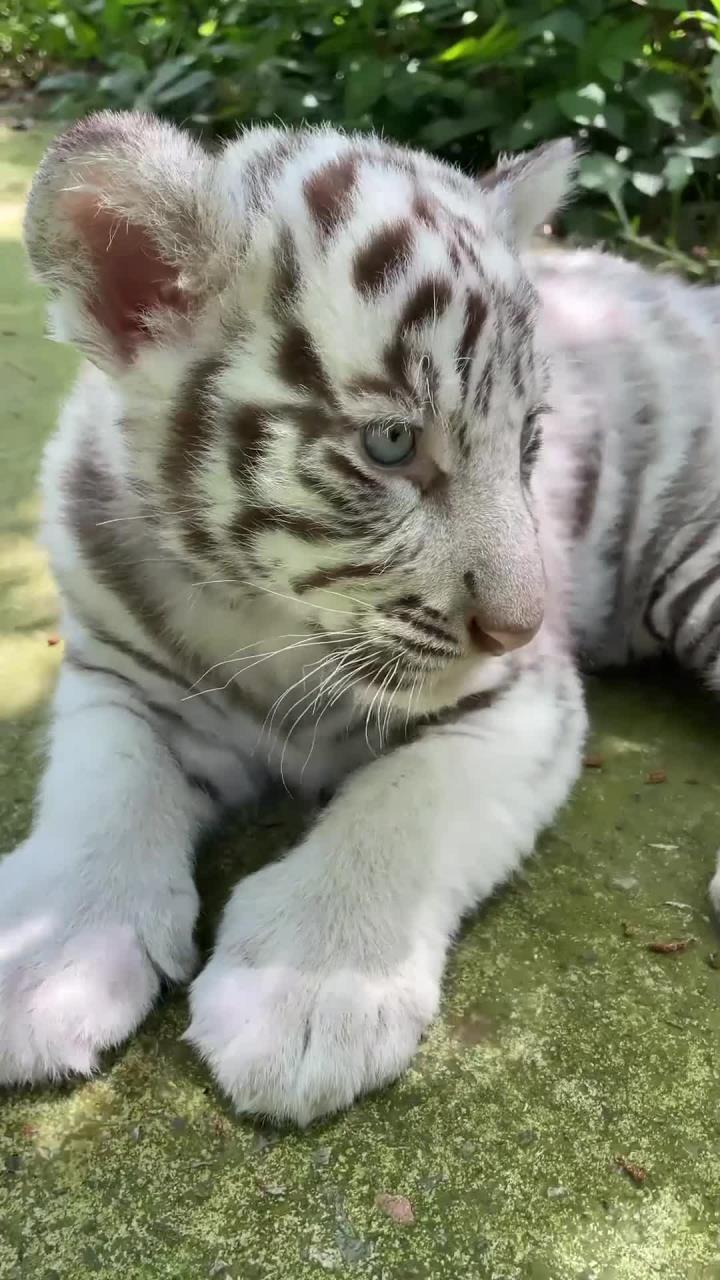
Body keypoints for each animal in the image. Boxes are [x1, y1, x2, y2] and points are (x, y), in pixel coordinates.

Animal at [1, 110, 718, 1125]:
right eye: (391, 444)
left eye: (530, 441)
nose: (526, 625)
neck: (264, 622)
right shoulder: (116, 677)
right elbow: (101, 792)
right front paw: (47, 958)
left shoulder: (520, 704)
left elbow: (403, 804)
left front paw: (306, 993)